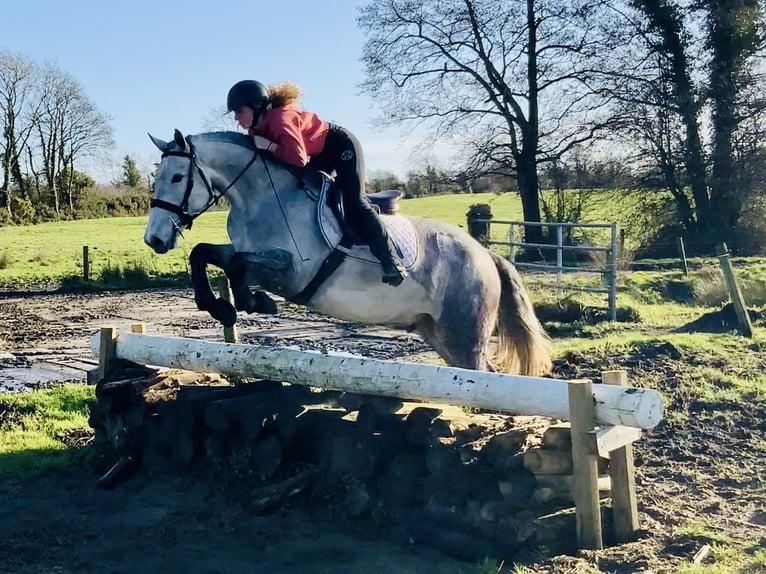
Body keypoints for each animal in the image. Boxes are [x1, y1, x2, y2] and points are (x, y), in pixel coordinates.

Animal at [144, 130, 552, 376]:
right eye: (156, 179)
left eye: (177, 178)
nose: (155, 240)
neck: (258, 196)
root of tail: (488, 257)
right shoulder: (251, 254)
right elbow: (206, 254)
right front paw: (223, 306)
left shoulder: (291, 271)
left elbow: (236, 265)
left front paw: (250, 302)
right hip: (437, 333)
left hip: (465, 335)